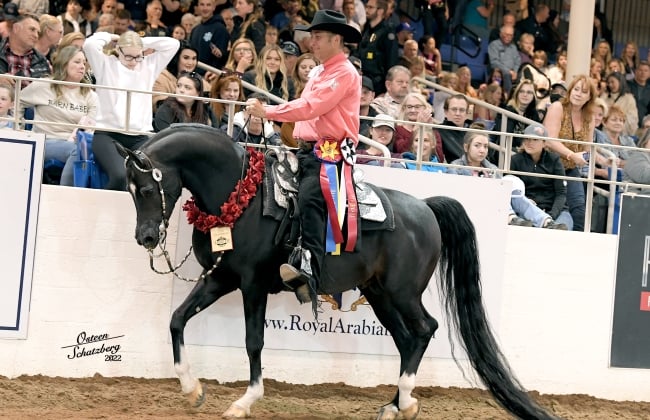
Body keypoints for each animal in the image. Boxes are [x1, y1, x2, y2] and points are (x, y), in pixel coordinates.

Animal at [115, 124, 556, 420]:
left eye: (146, 188)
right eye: (129, 189)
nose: (145, 236)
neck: (240, 196)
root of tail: (426, 208)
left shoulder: (253, 283)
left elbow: (254, 341)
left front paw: (244, 401)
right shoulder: (222, 277)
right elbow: (177, 319)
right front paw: (192, 390)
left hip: (402, 292)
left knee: (425, 329)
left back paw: (406, 401)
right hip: (379, 294)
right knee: (408, 339)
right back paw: (395, 405)